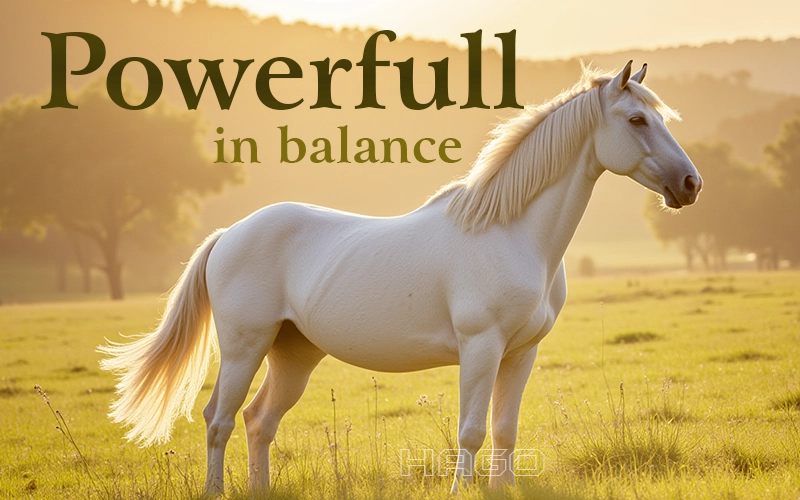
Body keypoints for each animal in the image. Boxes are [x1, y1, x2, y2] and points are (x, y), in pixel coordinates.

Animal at [99, 61, 702, 494]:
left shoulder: (521, 353)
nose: (690, 185)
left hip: (293, 353)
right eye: (637, 120)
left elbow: (504, 432)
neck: (512, 234)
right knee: (219, 420)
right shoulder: (481, 348)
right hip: (246, 346)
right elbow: (472, 431)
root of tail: (230, 234)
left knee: (258, 421)